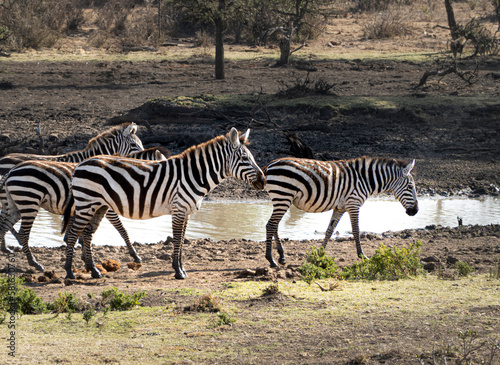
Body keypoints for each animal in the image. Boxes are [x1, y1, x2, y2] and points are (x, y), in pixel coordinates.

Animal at [0, 146, 170, 270]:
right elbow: (122, 230)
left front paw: (83, 256)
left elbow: (83, 233)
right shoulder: (108, 209)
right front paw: (135, 255)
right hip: (29, 201)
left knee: (4, 226)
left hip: (16, 205)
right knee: (22, 233)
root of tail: (10, 172)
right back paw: (34, 263)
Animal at [61, 127, 266, 278]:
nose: (263, 180)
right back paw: (70, 272)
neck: (194, 175)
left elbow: (182, 241)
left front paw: (181, 269)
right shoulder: (179, 208)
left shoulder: (186, 212)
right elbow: (177, 240)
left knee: (87, 235)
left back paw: (94, 271)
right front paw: (178, 271)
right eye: (245, 158)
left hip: (99, 206)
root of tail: (80, 165)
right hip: (86, 204)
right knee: (72, 234)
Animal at [262, 155, 418, 266]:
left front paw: (319, 254)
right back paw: (271, 260)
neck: (365, 180)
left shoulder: (340, 208)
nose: (415, 211)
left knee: (274, 225)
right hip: (283, 196)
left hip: (282, 199)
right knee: (270, 225)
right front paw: (362, 255)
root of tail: (270, 164)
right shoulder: (353, 204)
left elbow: (329, 230)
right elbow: (356, 230)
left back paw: (281, 256)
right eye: (410, 187)